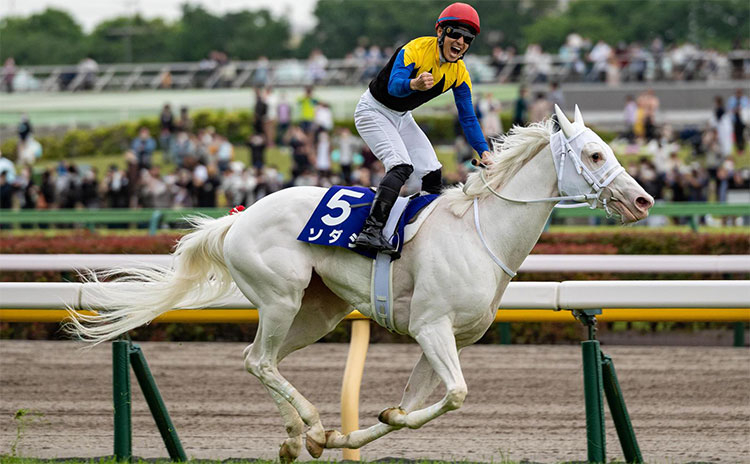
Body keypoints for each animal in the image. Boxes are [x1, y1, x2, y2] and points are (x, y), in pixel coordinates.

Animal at [66, 106, 654, 460]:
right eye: (596, 153)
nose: (644, 199)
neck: (479, 232)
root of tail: (239, 216)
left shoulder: (446, 338)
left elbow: (410, 414)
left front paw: (350, 431)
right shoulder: (431, 327)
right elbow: (457, 395)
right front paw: (334, 430)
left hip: (317, 313)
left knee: (260, 360)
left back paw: (296, 437)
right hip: (280, 298)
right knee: (260, 360)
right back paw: (305, 423)